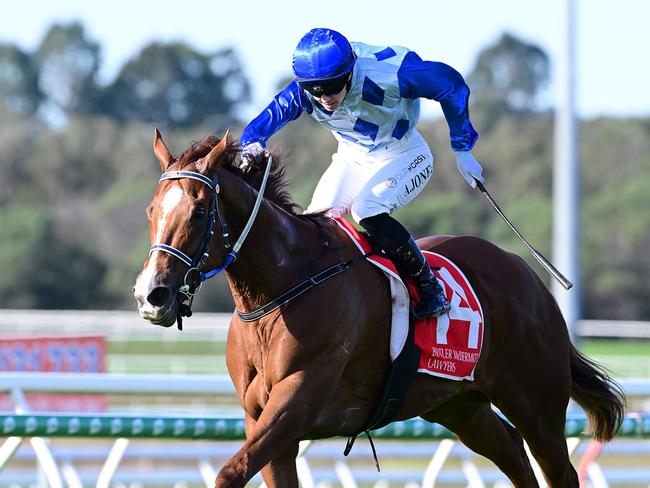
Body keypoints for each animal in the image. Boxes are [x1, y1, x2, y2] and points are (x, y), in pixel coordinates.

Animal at [133, 131, 624, 488]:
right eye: (152, 210)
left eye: (199, 213)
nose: (151, 294)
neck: (279, 292)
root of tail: (525, 272)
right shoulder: (263, 422)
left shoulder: (299, 400)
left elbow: (229, 473)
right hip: (460, 406)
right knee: (514, 456)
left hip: (536, 404)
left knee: (558, 469)